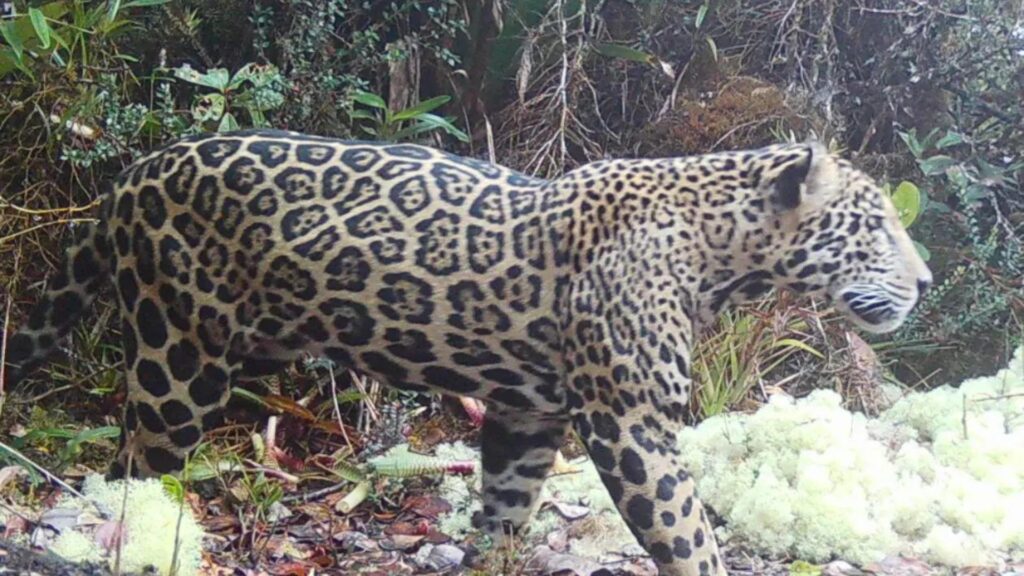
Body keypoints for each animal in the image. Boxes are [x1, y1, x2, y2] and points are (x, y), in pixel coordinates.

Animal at [4, 129, 931, 576]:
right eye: (877, 225)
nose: (925, 282)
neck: (720, 255)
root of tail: (128, 176)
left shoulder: (527, 413)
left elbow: (506, 511)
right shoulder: (629, 422)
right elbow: (688, 537)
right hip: (180, 359)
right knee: (135, 470)